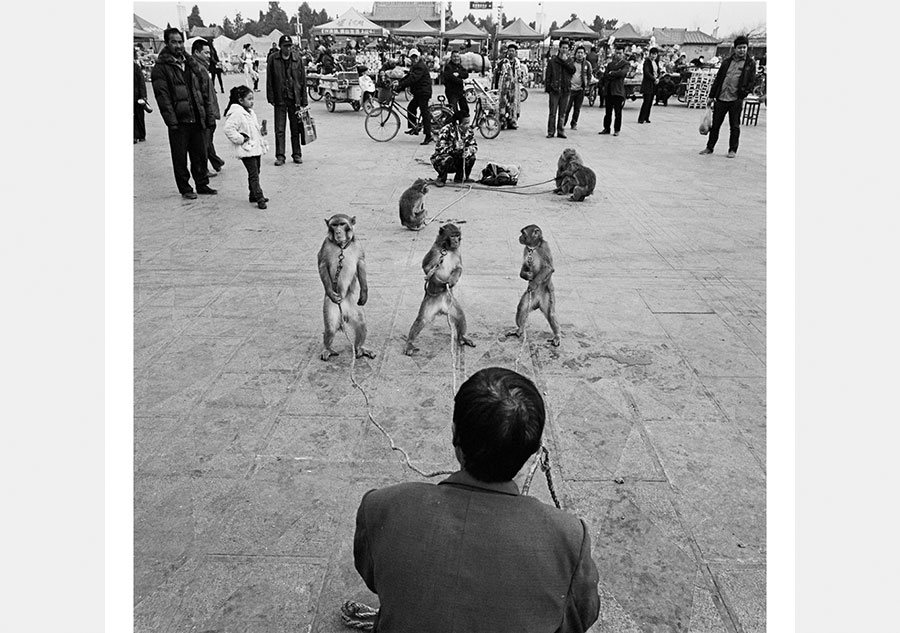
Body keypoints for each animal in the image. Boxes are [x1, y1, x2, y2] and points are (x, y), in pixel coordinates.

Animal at [316, 212, 376, 360]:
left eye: (342, 224)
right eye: (334, 225)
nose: (338, 231)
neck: (342, 247)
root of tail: (344, 312)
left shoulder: (358, 245)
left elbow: (361, 264)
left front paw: (364, 293)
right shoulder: (326, 245)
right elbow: (322, 264)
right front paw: (331, 293)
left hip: (353, 305)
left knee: (361, 324)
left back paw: (359, 348)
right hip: (332, 308)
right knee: (330, 328)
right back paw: (328, 349)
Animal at [404, 222, 478, 354]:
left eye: (457, 235)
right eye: (452, 236)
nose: (456, 241)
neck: (447, 250)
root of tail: (441, 309)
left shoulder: (457, 251)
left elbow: (459, 268)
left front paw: (452, 280)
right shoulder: (434, 251)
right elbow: (426, 268)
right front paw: (441, 283)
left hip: (451, 304)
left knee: (460, 316)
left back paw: (462, 337)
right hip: (430, 302)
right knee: (421, 320)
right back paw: (409, 343)